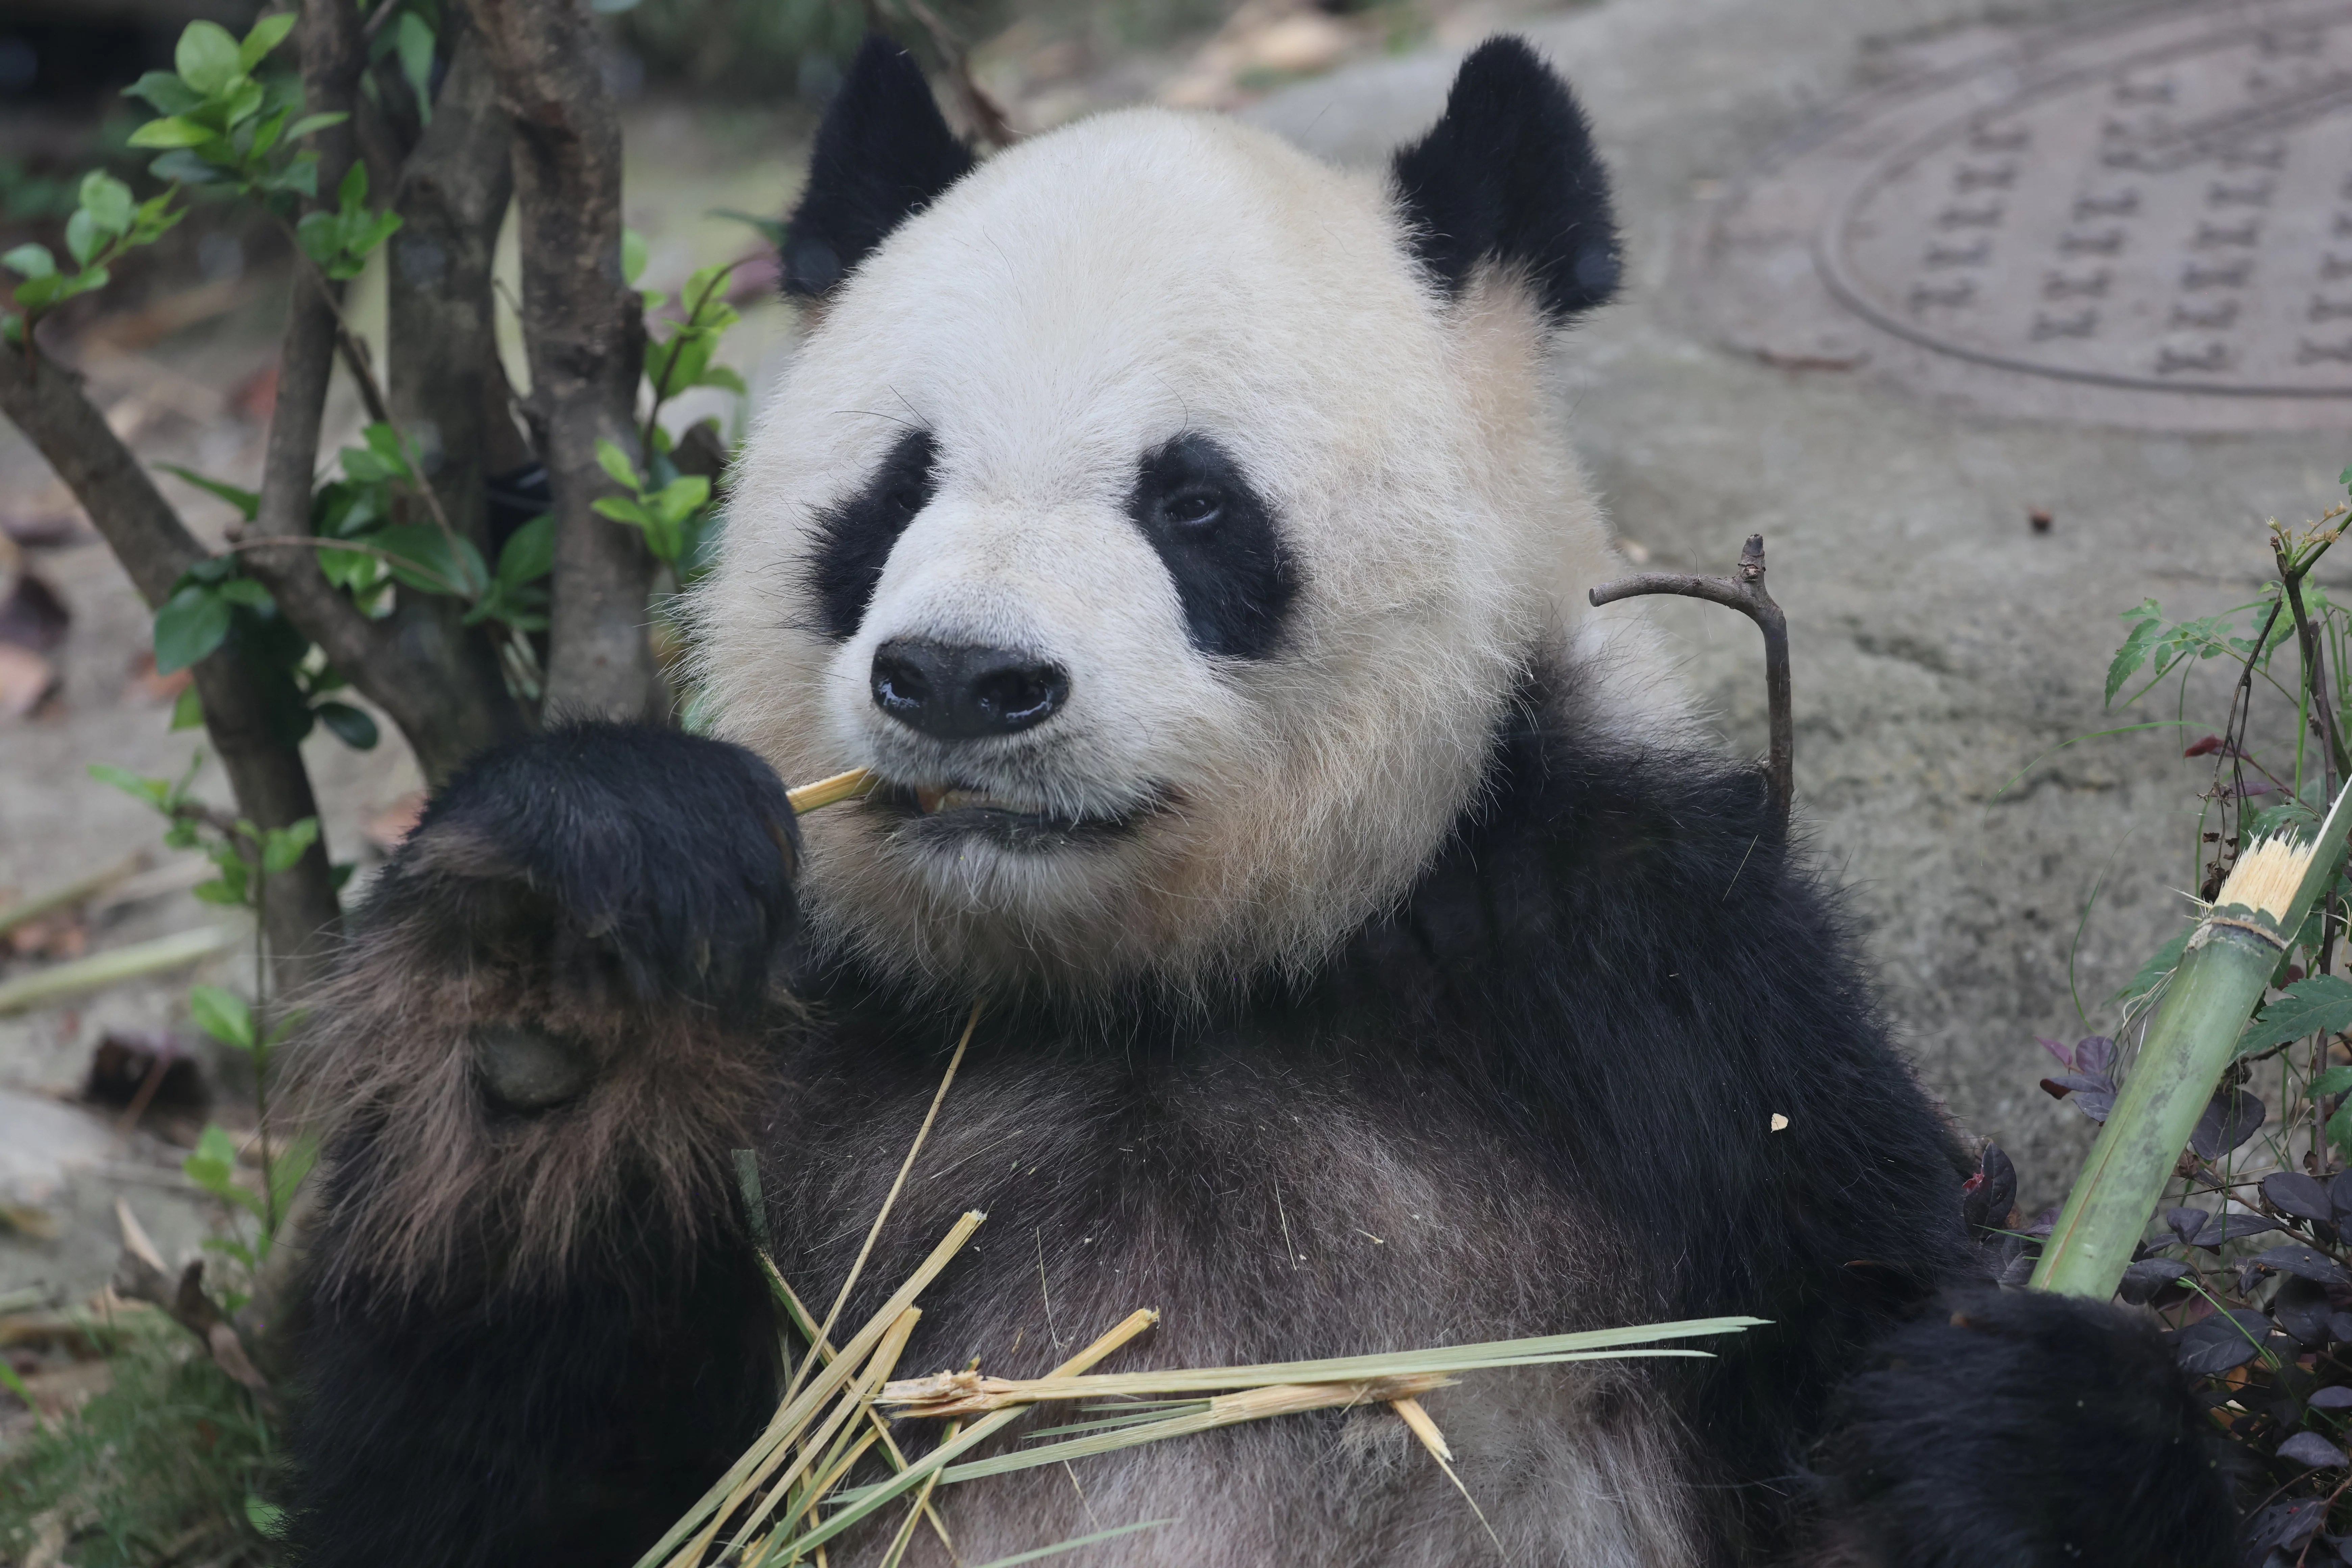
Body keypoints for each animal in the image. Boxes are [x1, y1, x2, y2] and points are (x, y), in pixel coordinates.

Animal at [279, 35, 2233, 1568]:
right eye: (893, 491)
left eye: (1194, 504)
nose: (964, 680)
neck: (1141, 993)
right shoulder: (814, 1068)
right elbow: (507, 1499)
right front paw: (573, 948)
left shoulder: (1656, 1004)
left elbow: (1865, 1332)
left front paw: (2011, 1428)